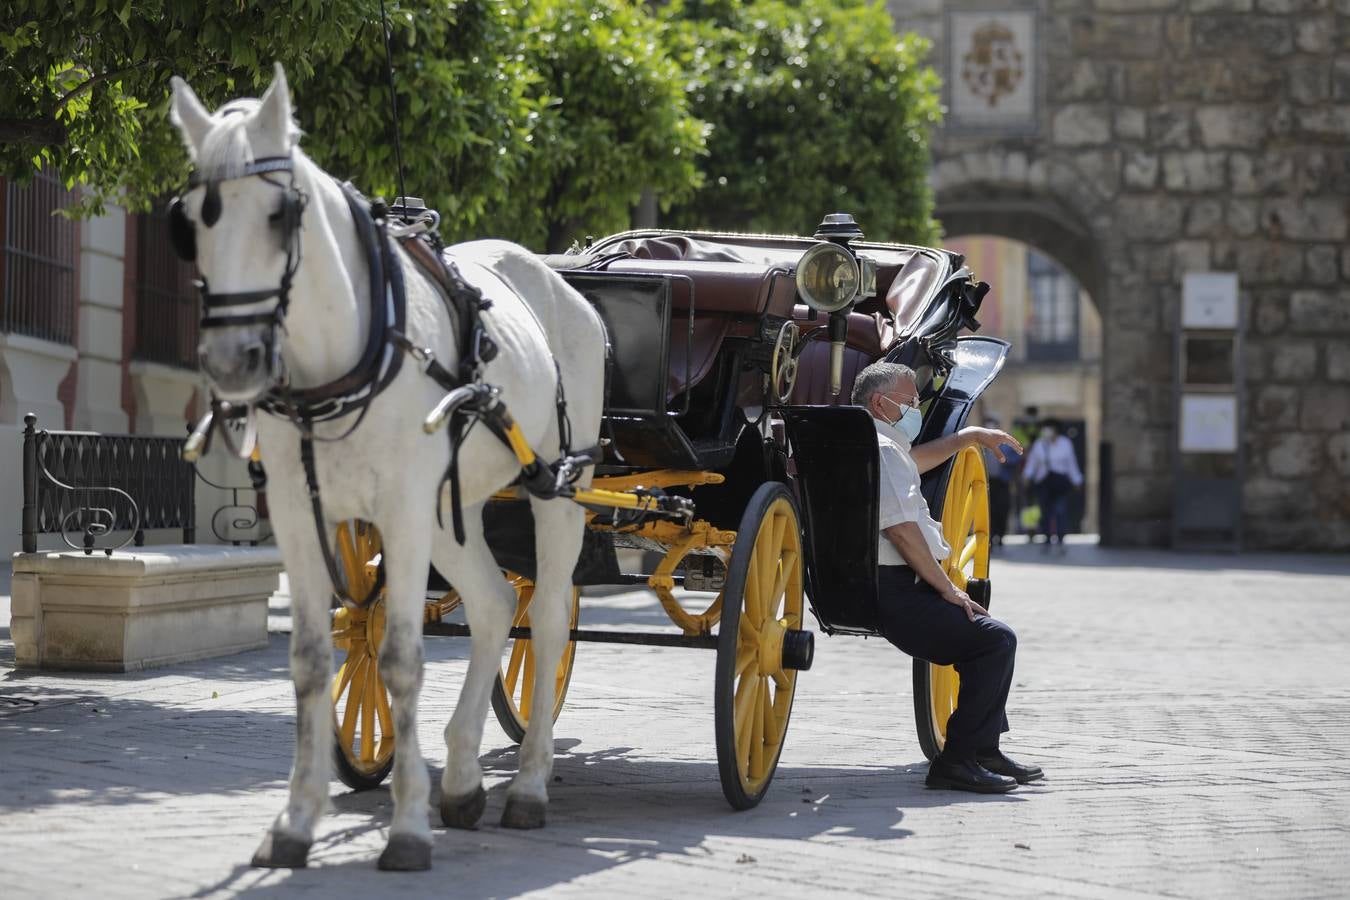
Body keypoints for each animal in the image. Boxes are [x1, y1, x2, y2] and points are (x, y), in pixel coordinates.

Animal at [168, 65, 607, 874]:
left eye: (280, 214)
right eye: (190, 224)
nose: (232, 359)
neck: (343, 356)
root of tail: (567, 287)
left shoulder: (400, 513)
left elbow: (402, 657)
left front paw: (405, 830)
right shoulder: (304, 518)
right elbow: (314, 660)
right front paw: (296, 821)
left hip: (557, 488)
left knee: (547, 621)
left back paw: (529, 786)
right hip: (448, 511)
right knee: (496, 603)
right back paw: (462, 780)